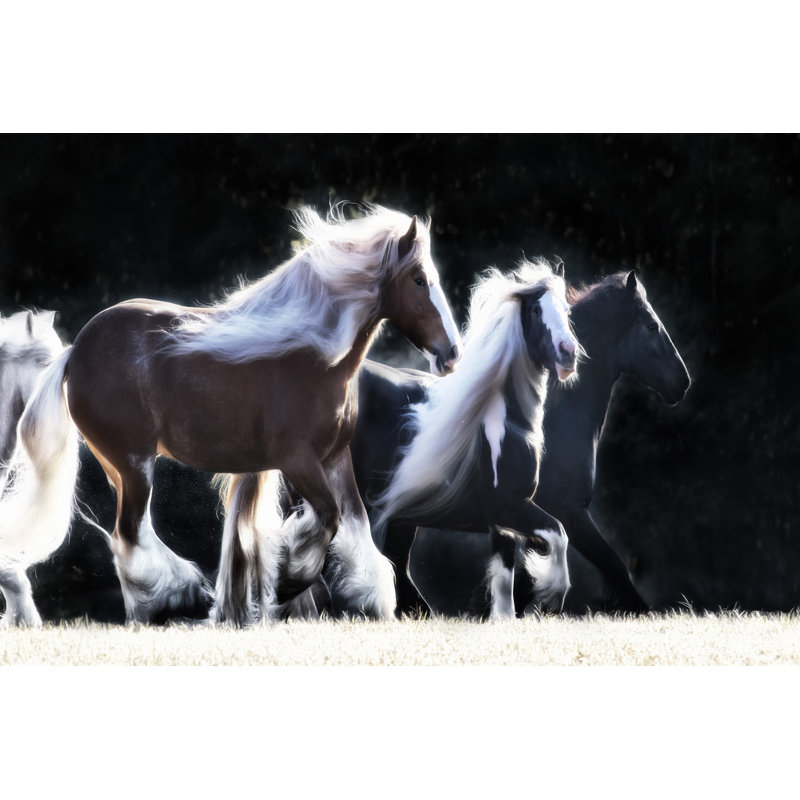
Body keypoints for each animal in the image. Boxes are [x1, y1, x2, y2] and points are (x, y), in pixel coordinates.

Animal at [0, 204, 461, 627]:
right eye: (419, 279)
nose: (452, 354)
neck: (314, 356)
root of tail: (74, 352)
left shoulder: (335, 458)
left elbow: (355, 523)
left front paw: (367, 598)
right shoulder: (298, 460)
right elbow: (327, 518)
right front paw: (289, 580)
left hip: (119, 466)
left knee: (131, 534)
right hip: (134, 462)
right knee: (129, 535)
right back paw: (172, 599)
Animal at [217, 258, 580, 621]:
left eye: (566, 310)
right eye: (536, 310)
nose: (568, 354)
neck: (501, 421)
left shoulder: (502, 522)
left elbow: (505, 584)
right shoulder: (506, 506)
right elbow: (558, 534)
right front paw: (550, 599)